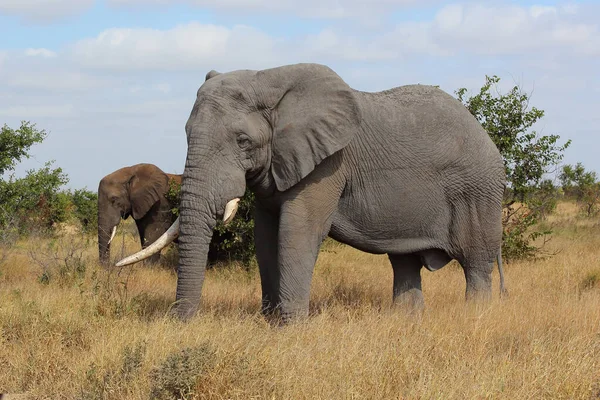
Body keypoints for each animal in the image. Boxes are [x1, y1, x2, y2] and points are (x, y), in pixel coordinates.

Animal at [117, 64, 506, 324]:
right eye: (186, 133)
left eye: (243, 141)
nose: (178, 322)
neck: (268, 79)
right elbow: (266, 236)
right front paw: (270, 322)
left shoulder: (327, 164)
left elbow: (298, 232)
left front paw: (290, 329)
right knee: (405, 261)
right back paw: (404, 321)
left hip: (478, 192)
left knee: (476, 264)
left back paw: (476, 318)